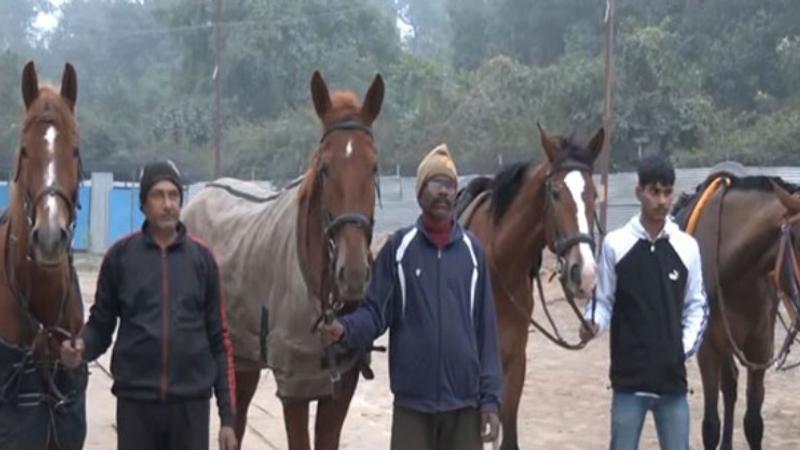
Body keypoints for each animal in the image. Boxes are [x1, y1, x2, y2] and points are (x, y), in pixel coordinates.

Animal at [183, 72, 382, 448]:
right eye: (324, 168)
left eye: (374, 166)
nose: (353, 275)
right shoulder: (294, 388)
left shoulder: (341, 387)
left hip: (242, 358)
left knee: (235, 426)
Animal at [454, 124, 604, 450]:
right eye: (556, 193)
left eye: (594, 194)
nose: (585, 273)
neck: (498, 263)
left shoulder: (514, 361)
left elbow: (506, 435)